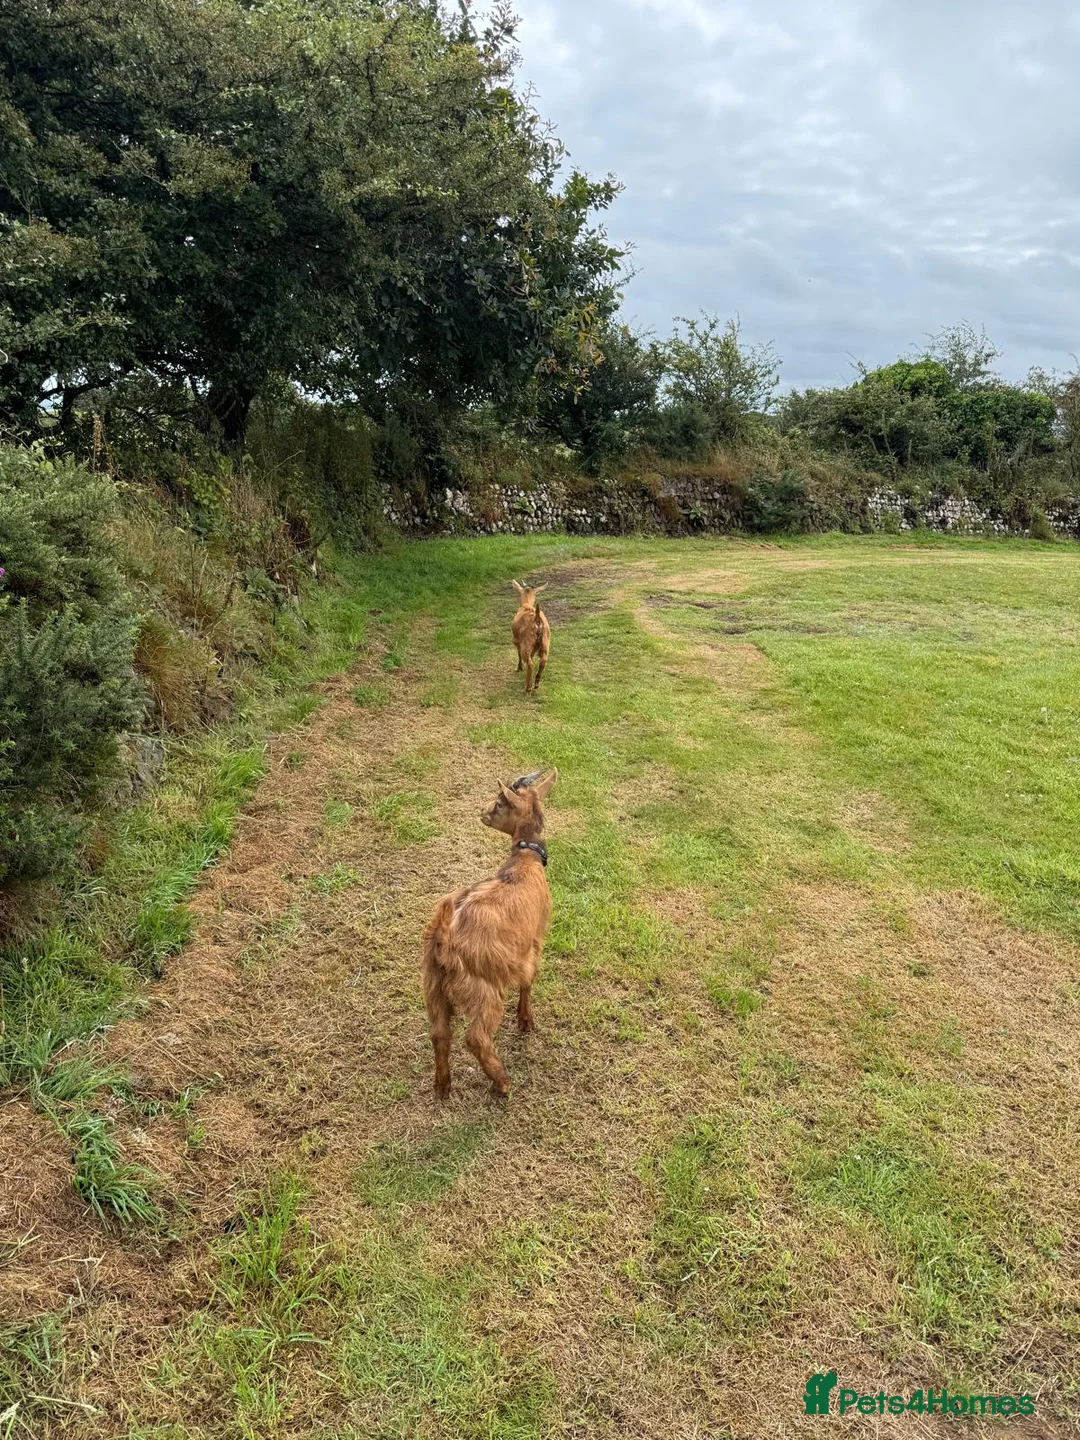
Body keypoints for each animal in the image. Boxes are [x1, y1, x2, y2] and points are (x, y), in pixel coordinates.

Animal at [421, 768, 558, 1098]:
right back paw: (502, 1081)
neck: (523, 863)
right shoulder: (533, 945)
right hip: (483, 989)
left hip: (433, 985)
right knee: (475, 1037)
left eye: (498, 804)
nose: (482, 813)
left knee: (440, 1032)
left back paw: (443, 1085)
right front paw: (525, 1022)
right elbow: (528, 981)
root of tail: (444, 937)